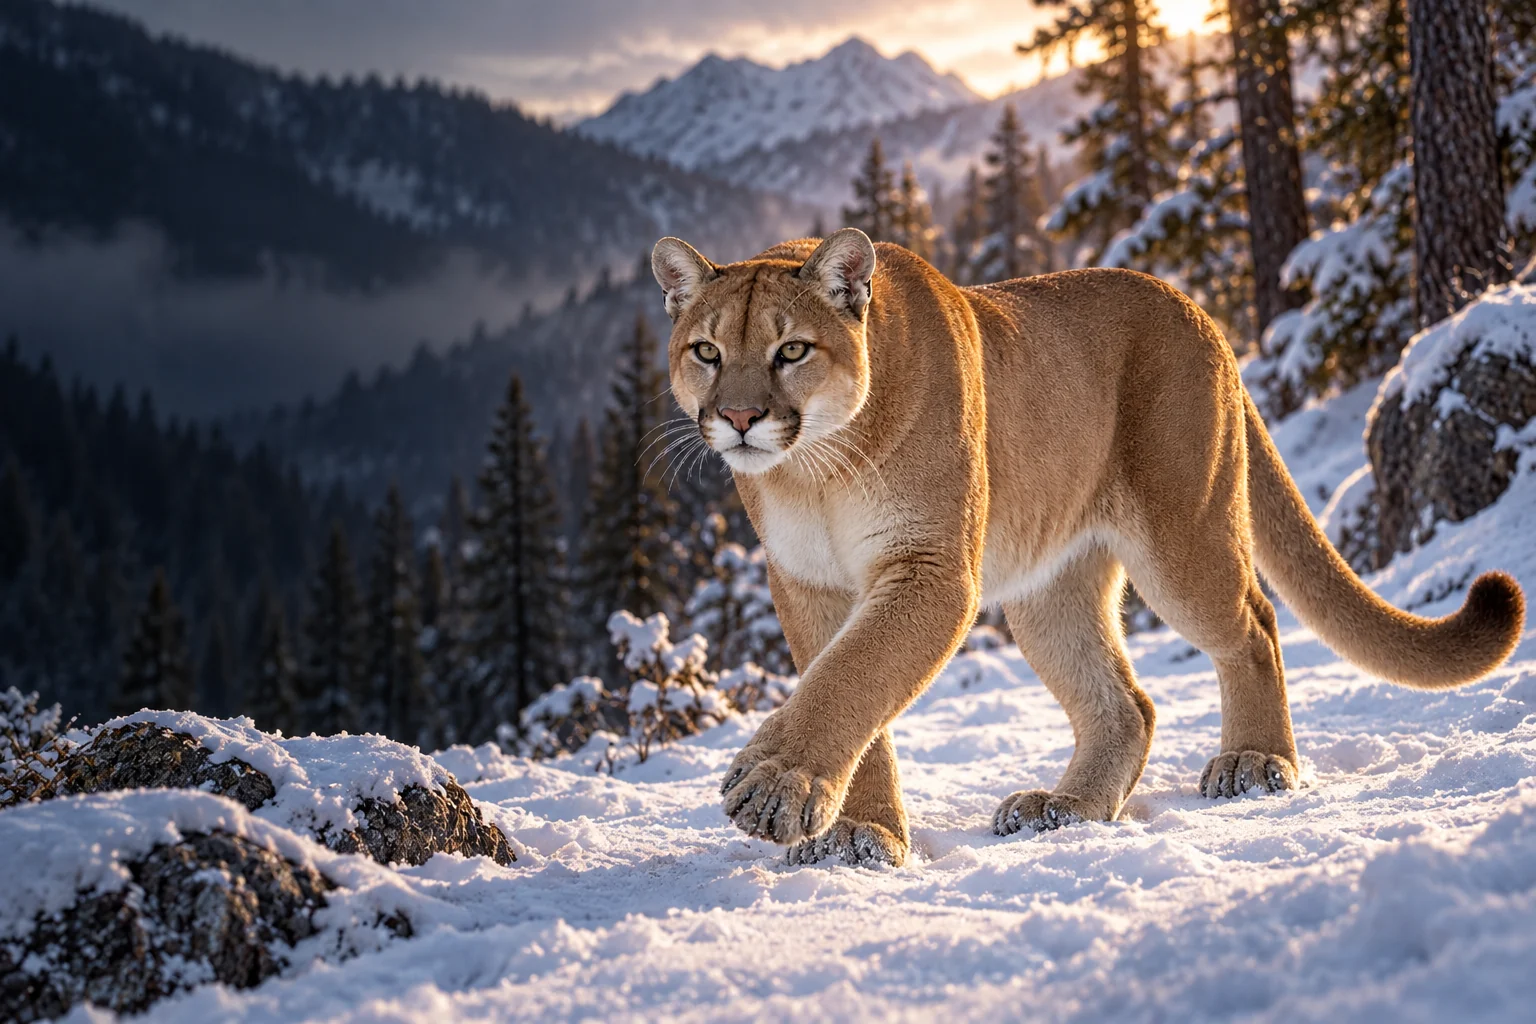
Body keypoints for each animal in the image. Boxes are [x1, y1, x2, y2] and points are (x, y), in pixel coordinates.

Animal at [649, 228, 1526, 868]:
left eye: (792, 350)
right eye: (707, 352)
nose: (739, 418)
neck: (814, 470)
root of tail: (1195, 308)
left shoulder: (930, 570)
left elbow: (854, 678)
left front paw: (776, 788)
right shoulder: (807, 583)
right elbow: (851, 692)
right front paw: (856, 836)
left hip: (1181, 531)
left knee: (1254, 624)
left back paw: (1254, 763)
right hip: (1051, 583)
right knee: (1126, 702)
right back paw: (1066, 808)